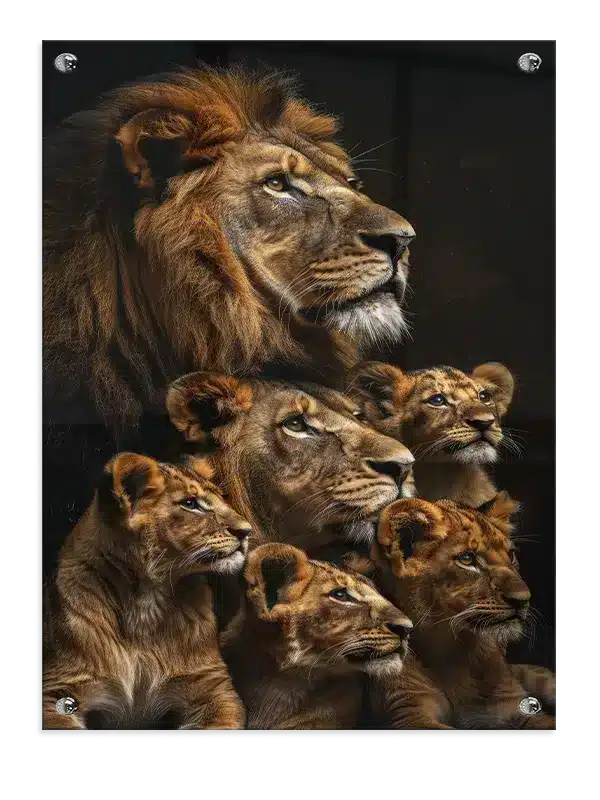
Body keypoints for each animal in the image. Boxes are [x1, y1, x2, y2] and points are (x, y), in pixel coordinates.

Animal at [43, 453, 249, 730]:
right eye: (190, 503)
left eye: (222, 498)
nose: (246, 531)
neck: (146, 603)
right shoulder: (56, 689)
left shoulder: (214, 687)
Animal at [366, 494, 556, 729]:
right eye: (466, 559)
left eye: (511, 555)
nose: (523, 600)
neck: (458, 653)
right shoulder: (407, 712)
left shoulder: (512, 706)